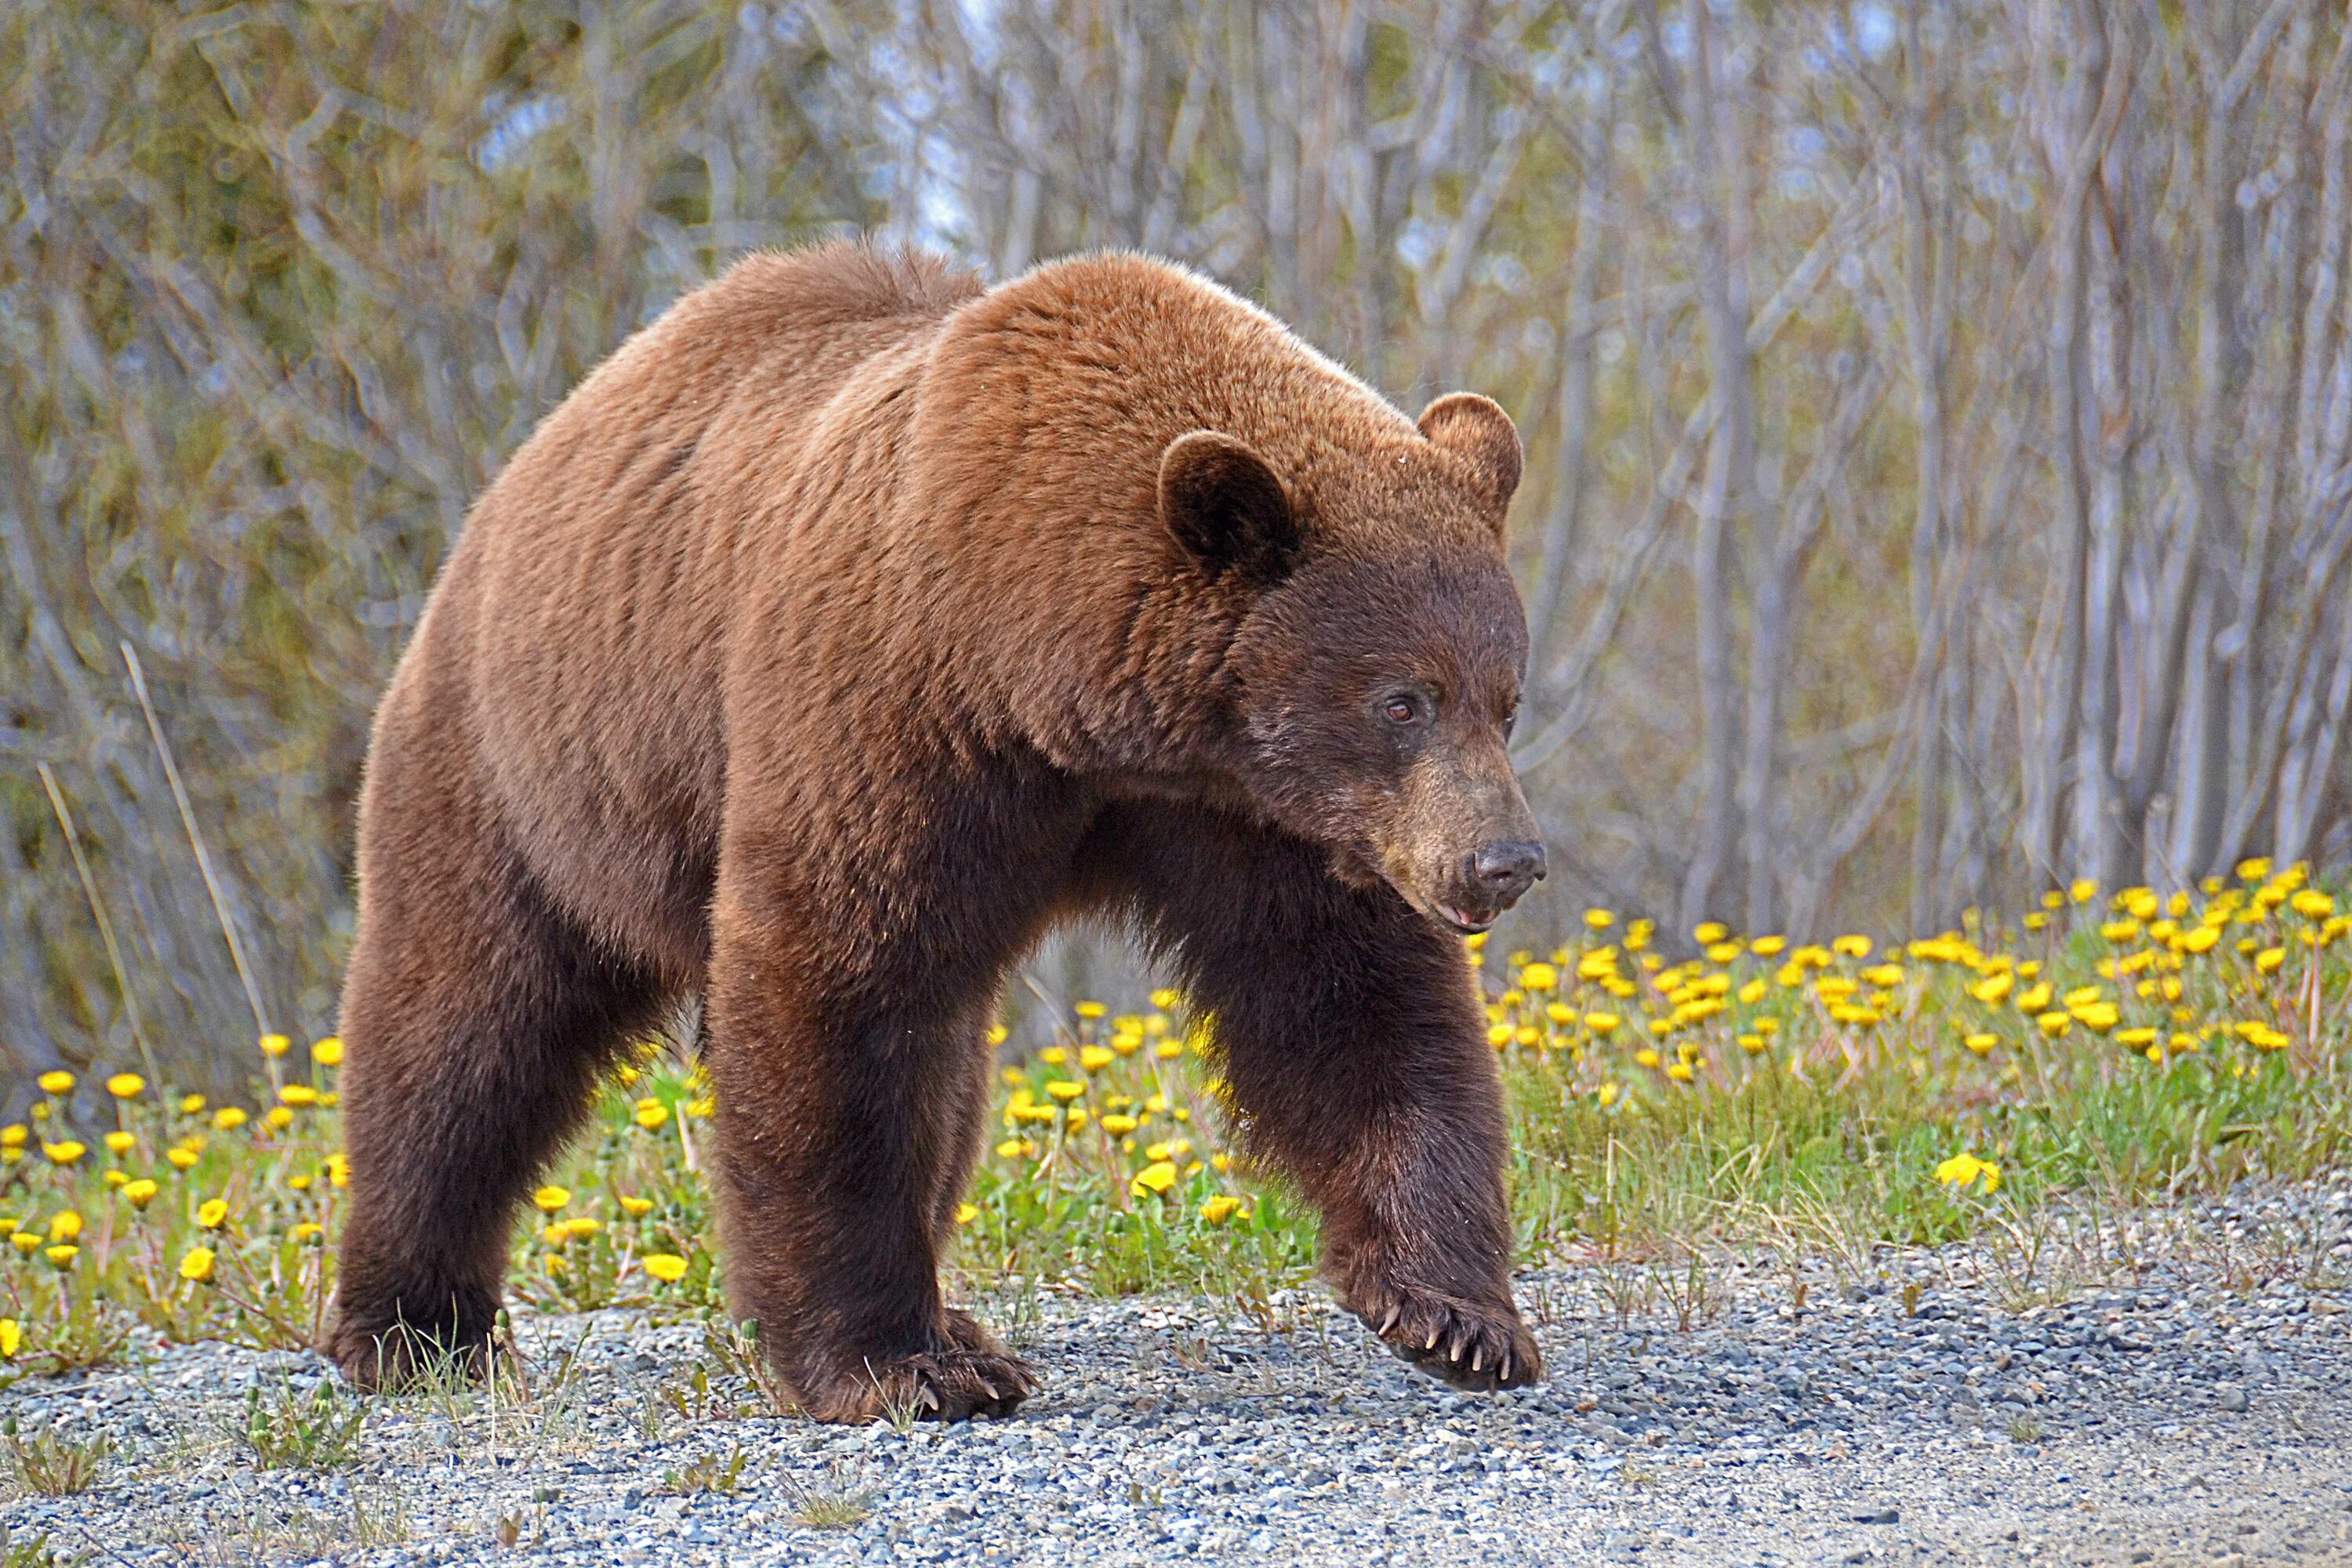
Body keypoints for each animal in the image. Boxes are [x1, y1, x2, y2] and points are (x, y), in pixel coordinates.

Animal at [327, 241, 1543, 1420]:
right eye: (1401, 699)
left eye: (1504, 698)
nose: (1507, 862)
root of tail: (517, 478)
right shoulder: (894, 711)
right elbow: (838, 986)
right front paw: (892, 1362)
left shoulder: (1252, 811)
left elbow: (1345, 993)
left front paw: (1454, 1314)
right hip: (530, 773)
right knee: (464, 1028)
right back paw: (413, 1329)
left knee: (948, 1069)